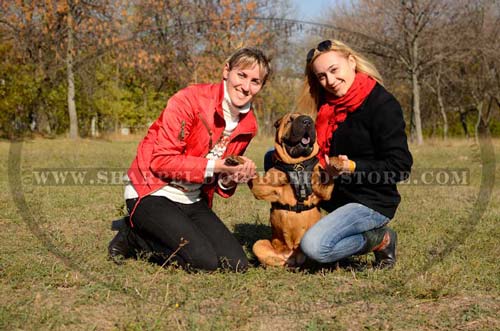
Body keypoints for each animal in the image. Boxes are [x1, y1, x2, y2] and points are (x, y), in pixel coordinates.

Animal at [248, 113, 342, 268]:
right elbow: (256, 180)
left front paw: (336, 163)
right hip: (260, 244)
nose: (307, 121)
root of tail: (292, 256)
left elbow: (326, 178)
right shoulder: (262, 188)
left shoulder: (322, 190)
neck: (297, 164)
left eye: (310, 119)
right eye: (290, 120)